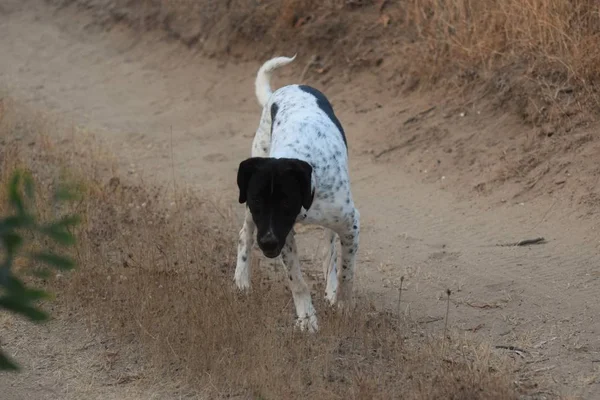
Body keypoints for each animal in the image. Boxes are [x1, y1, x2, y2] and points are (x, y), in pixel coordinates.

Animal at [234, 55, 358, 332]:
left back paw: (330, 287)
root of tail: (287, 88)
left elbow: (346, 273)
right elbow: (298, 282)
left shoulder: (350, 225)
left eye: (285, 202)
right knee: (244, 235)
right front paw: (307, 318)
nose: (268, 243)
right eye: (257, 200)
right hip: (249, 210)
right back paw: (241, 280)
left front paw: (342, 305)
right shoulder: (284, 235)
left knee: (329, 249)